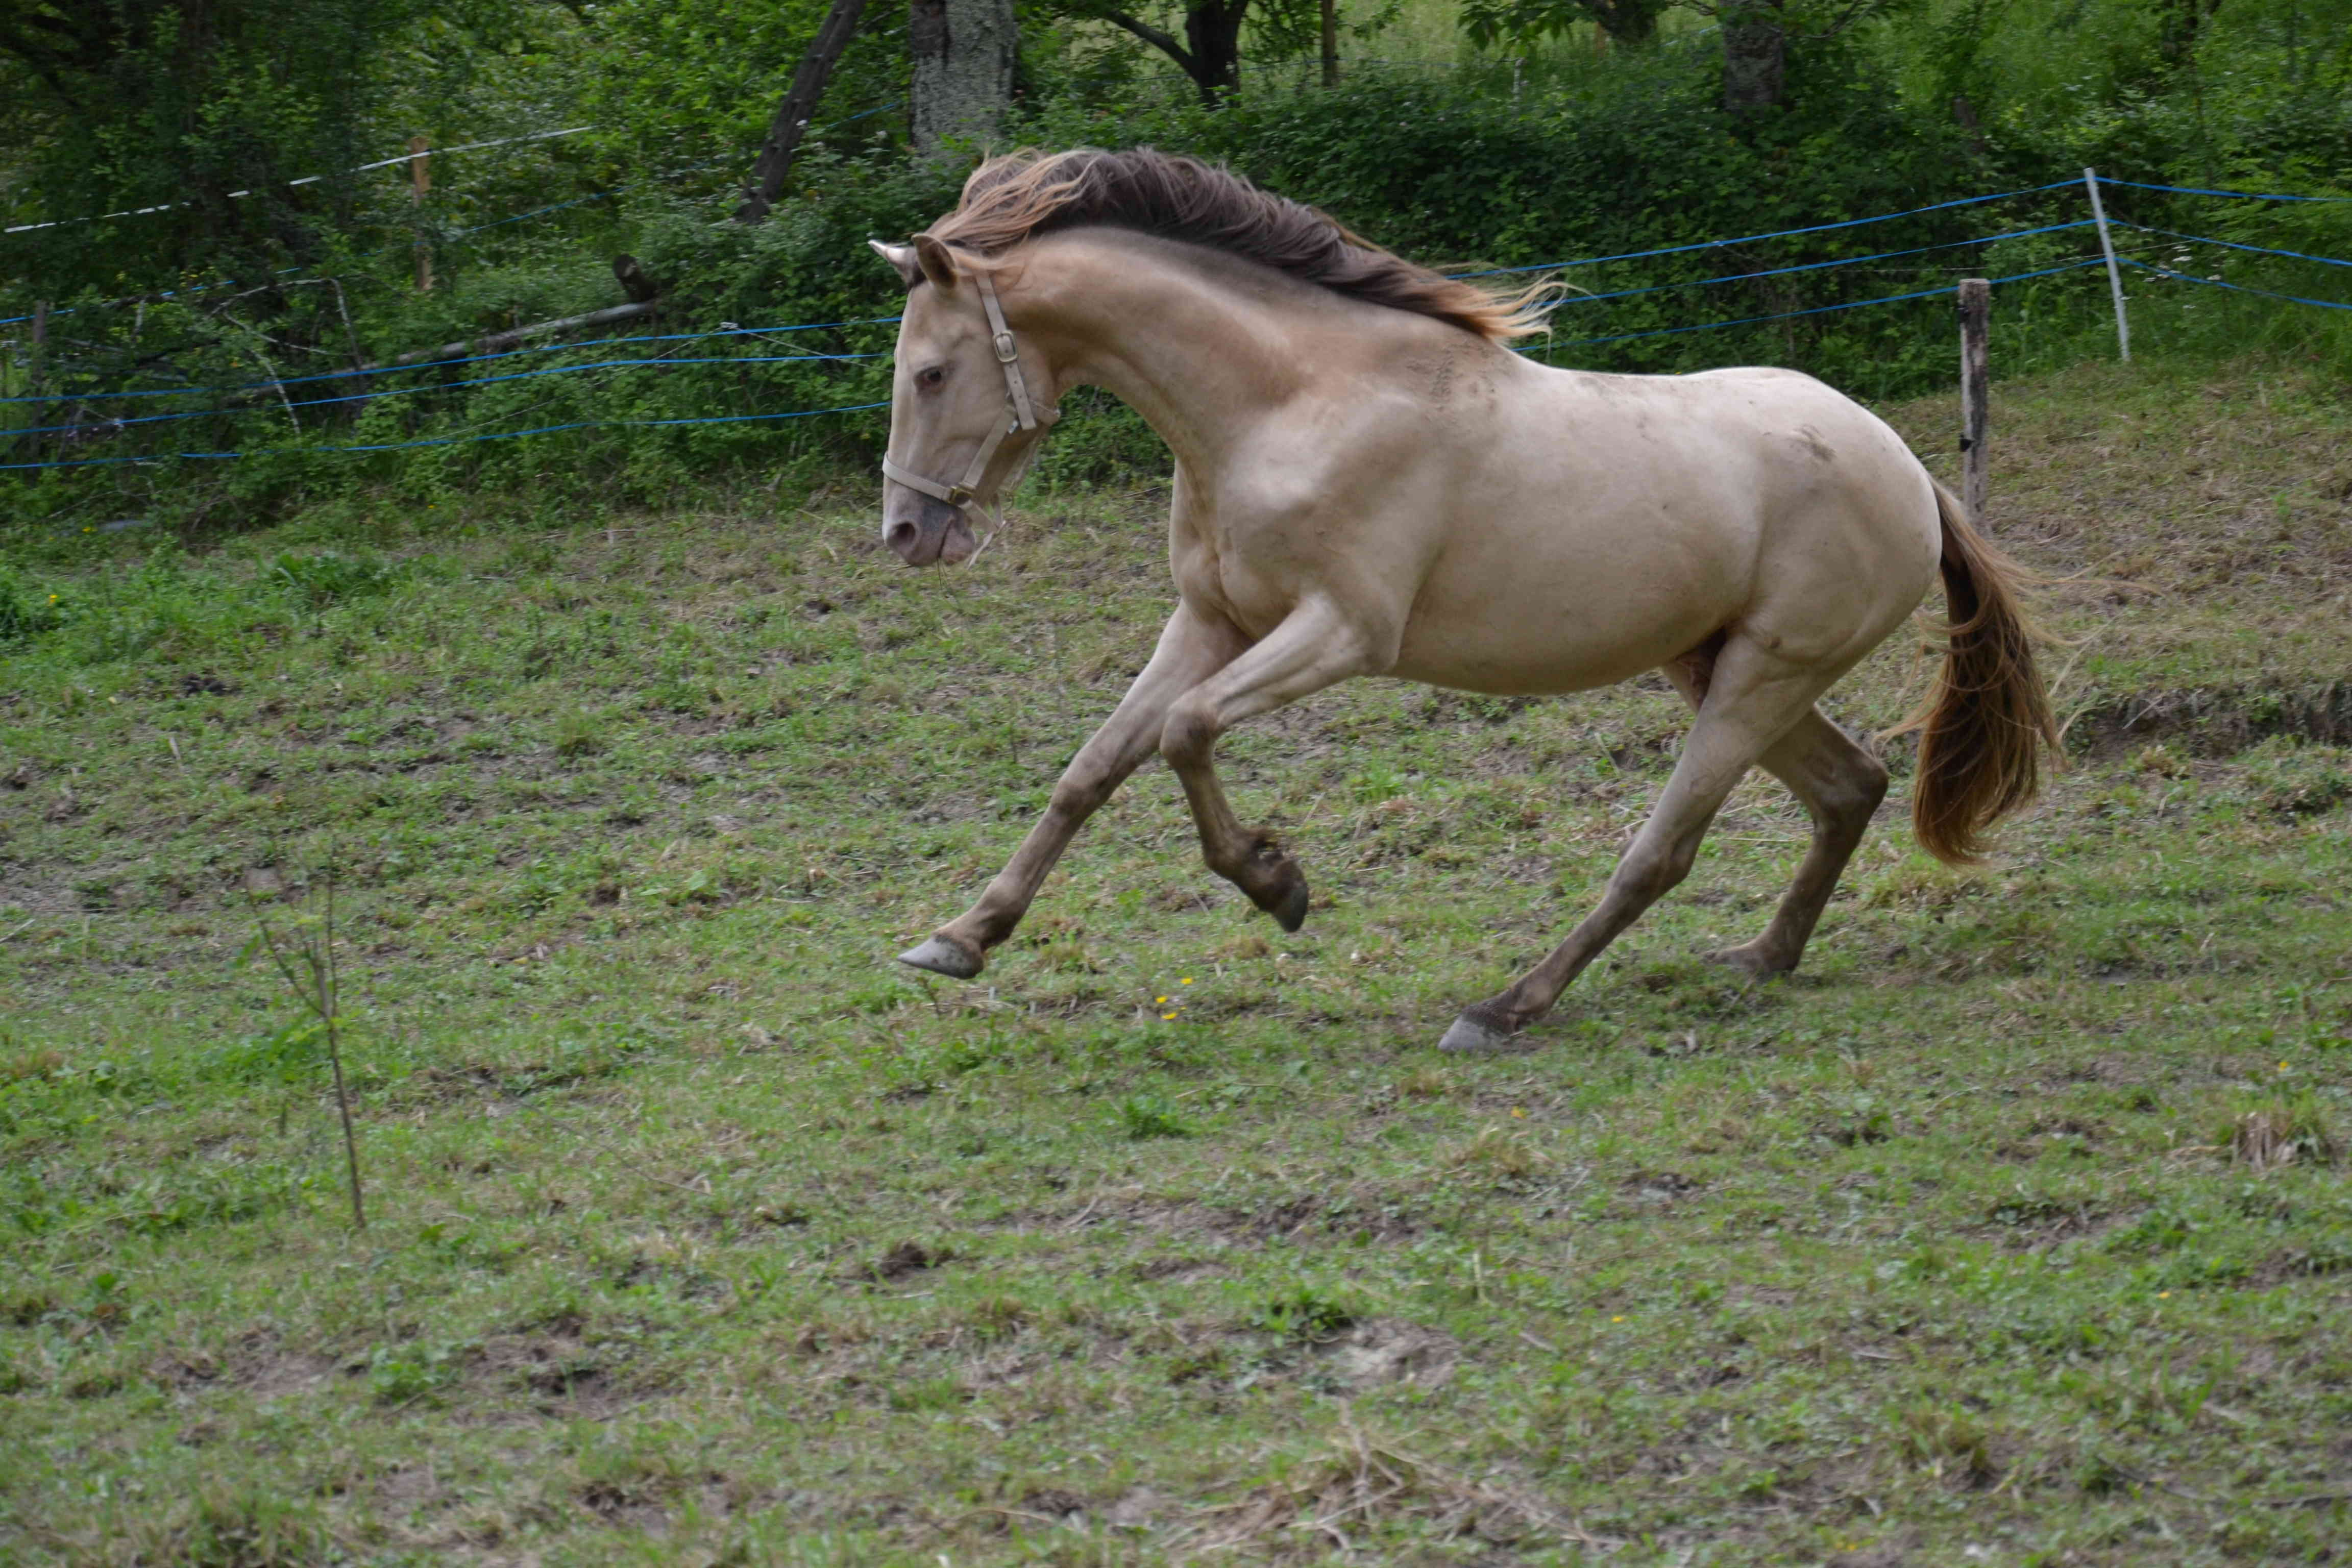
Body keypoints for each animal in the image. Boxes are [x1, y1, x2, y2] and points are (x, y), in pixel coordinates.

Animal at [870, 146, 2060, 1053]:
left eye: (930, 373)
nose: (907, 534)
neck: (1290, 403)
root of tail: (1906, 471)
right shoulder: (1211, 621)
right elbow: (1092, 769)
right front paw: (960, 938)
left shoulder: (1341, 632)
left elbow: (1185, 731)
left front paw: (1275, 882)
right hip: (1716, 667)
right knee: (1850, 787)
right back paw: (1761, 958)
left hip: (1761, 678)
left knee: (1662, 851)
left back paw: (1506, 1007)